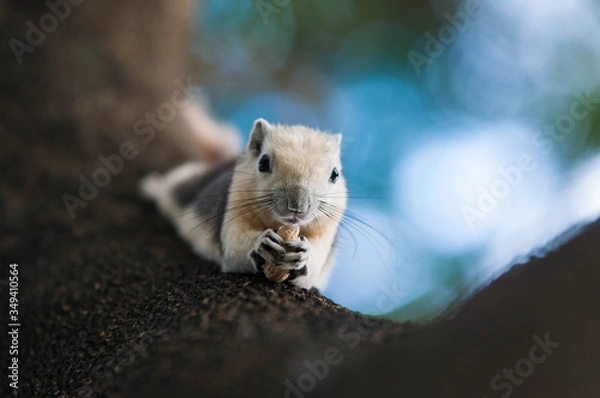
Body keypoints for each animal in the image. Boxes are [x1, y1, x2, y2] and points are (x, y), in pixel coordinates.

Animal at [139, 118, 346, 290]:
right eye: (263, 163)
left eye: (335, 174)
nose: (297, 207)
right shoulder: (233, 207)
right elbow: (234, 248)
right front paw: (261, 243)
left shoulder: (327, 230)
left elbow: (313, 268)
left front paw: (306, 254)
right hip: (186, 186)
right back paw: (152, 186)